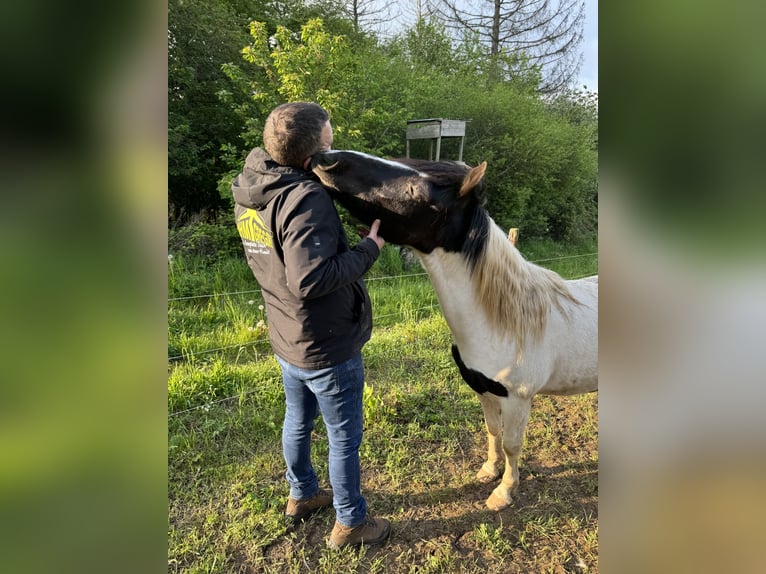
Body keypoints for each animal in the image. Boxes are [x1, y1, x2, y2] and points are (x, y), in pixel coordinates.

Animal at [312, 152, 600, 512]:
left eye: (417, 190)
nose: (327, 160)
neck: (503, 322)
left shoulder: (518, 399)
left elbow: (512, 445)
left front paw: (503, 492)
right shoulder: (484, 389)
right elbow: (492, 430)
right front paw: (488, 471)